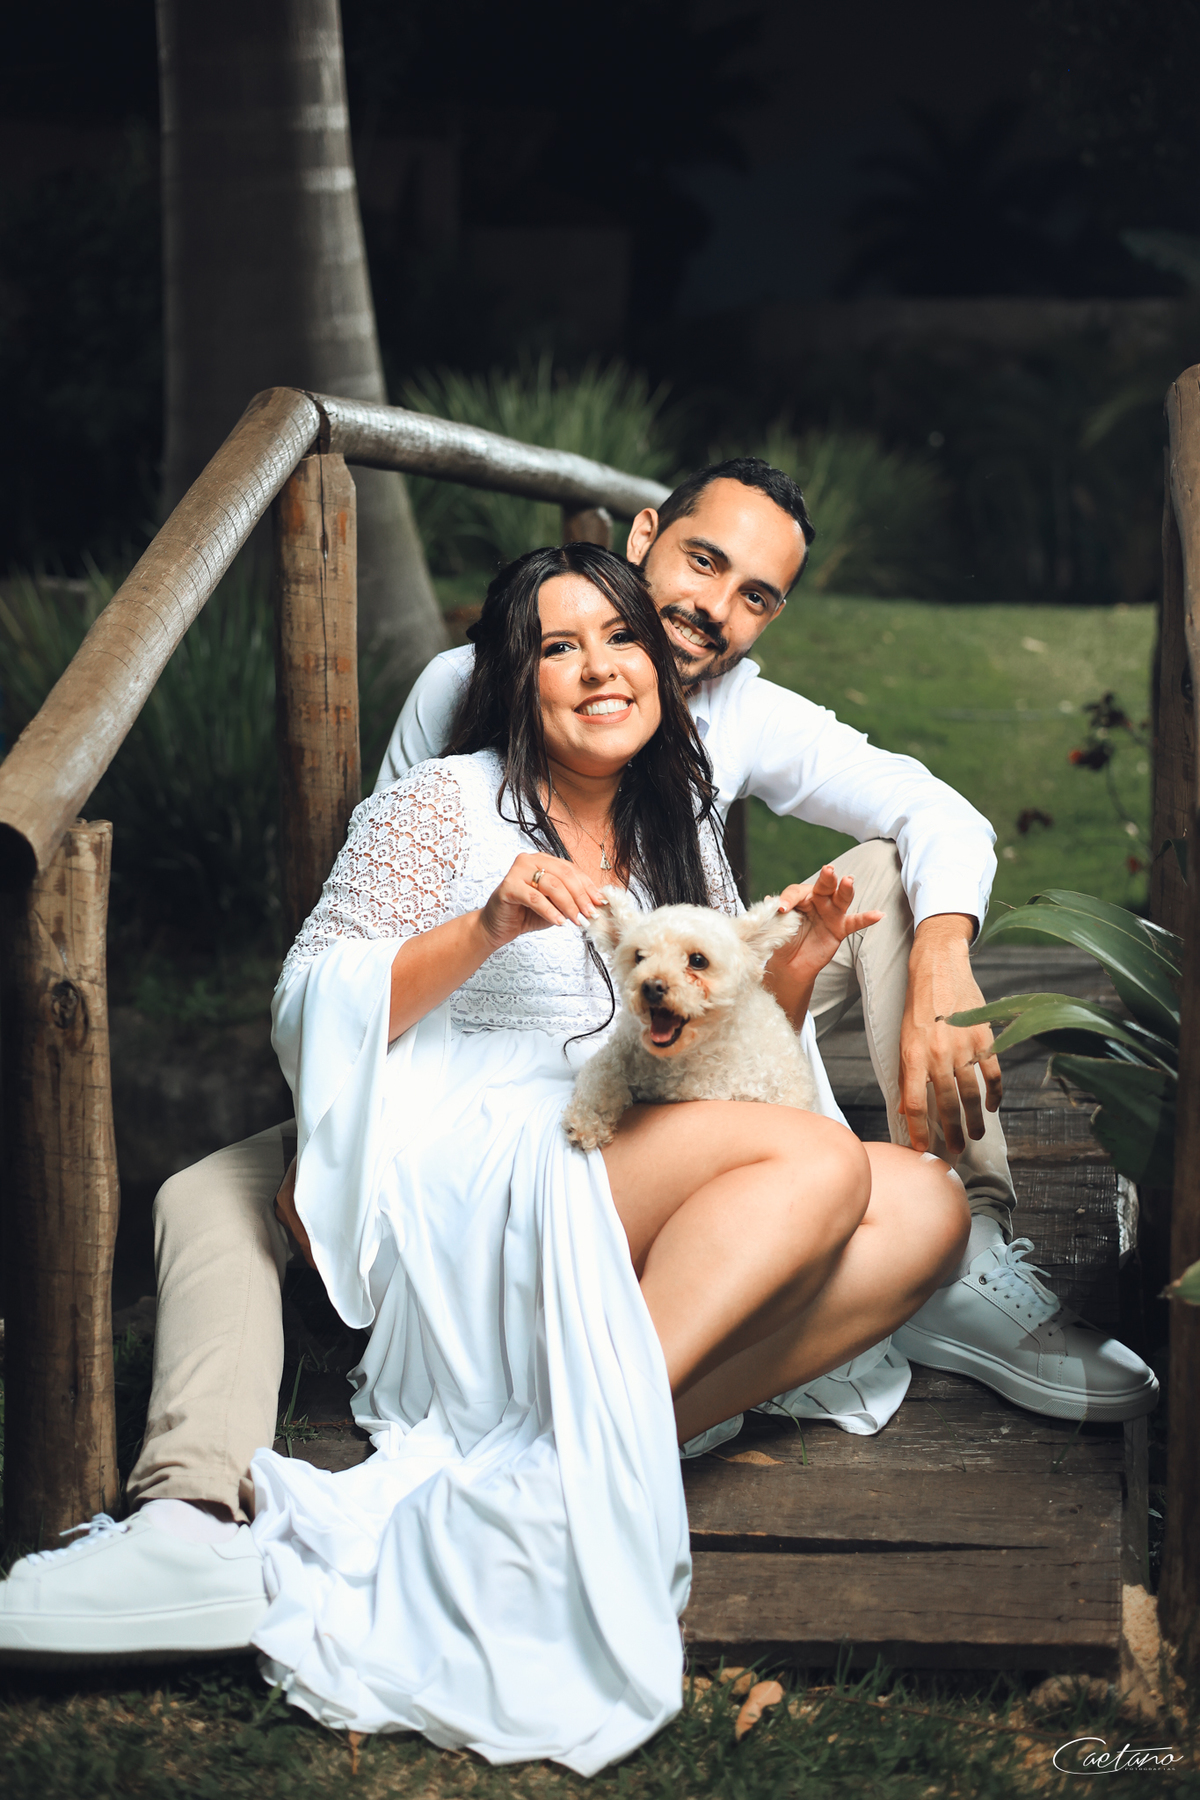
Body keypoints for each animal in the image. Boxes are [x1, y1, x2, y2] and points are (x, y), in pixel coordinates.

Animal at [561, 887, 819, 1153]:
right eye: (639, 957)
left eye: (697, 961)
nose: (651, 986)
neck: (691, 1057)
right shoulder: (619, 1052)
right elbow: (602, 1076)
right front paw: (588, 1123)